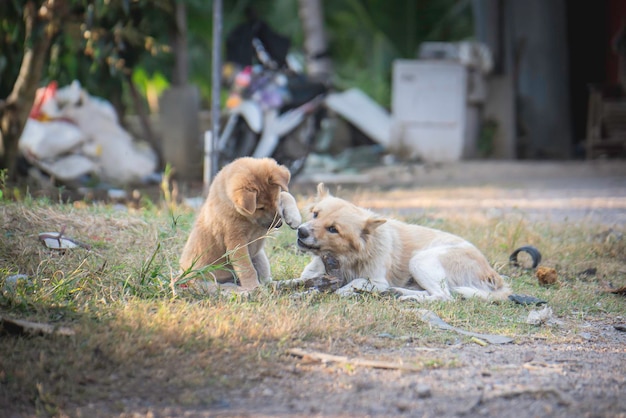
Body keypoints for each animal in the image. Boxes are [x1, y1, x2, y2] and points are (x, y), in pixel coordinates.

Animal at [178, 157, 300, 290]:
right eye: (260, 208)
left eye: (275, 200)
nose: (279, 225)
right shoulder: (236, 241)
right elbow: (247, 269)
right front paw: (253, 287)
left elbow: (286, 194)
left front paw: (295, 218)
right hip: (209, 282)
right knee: (227, 287)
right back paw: (246, 290)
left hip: (260, 258)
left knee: (268, 282)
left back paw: (288, 283)